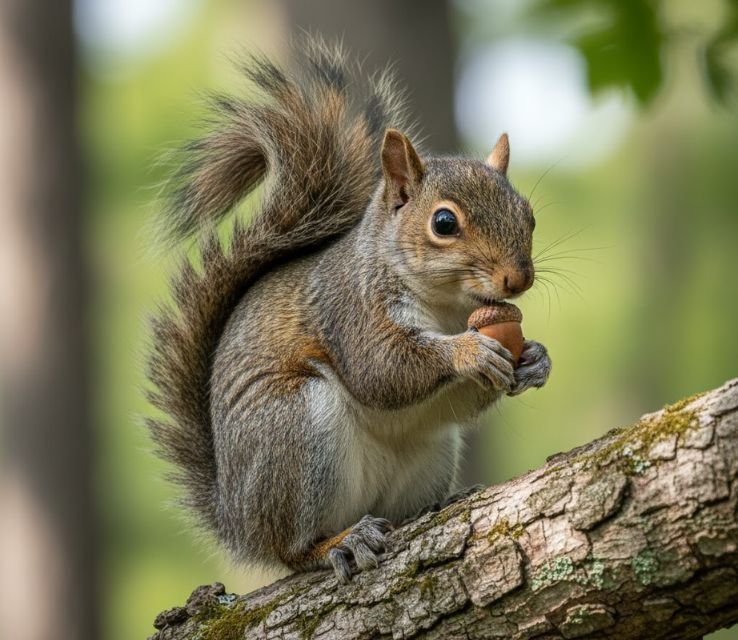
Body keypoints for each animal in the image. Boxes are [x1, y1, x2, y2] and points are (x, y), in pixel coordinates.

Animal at [146, 38, 552, 583]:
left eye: (527, 215)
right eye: (444, 223)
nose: (518, 279)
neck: (447, 307)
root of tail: (237, 520)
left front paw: (535, 359)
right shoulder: (351, 309)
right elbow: (382, 369)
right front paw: (467, 353)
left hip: (428, 454)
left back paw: (433, 507)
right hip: (294, 430)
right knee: (291, 549)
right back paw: (336, 543)